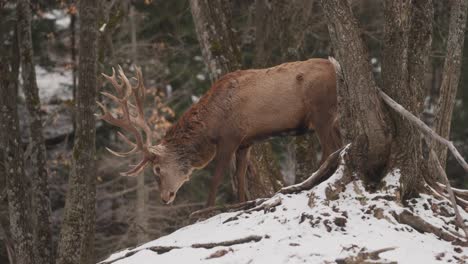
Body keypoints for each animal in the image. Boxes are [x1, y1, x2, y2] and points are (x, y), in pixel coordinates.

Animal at [98, 58, 340, 207]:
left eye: (156, 169)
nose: (165, 198)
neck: (211, 125)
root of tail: (336, 67)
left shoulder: (230, 137)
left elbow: (217, 177)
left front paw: (207, 209)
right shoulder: (246, 142)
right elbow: (240, 178)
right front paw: (240, 203)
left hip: (321, 112)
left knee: (329, 149)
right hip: (331, 117)